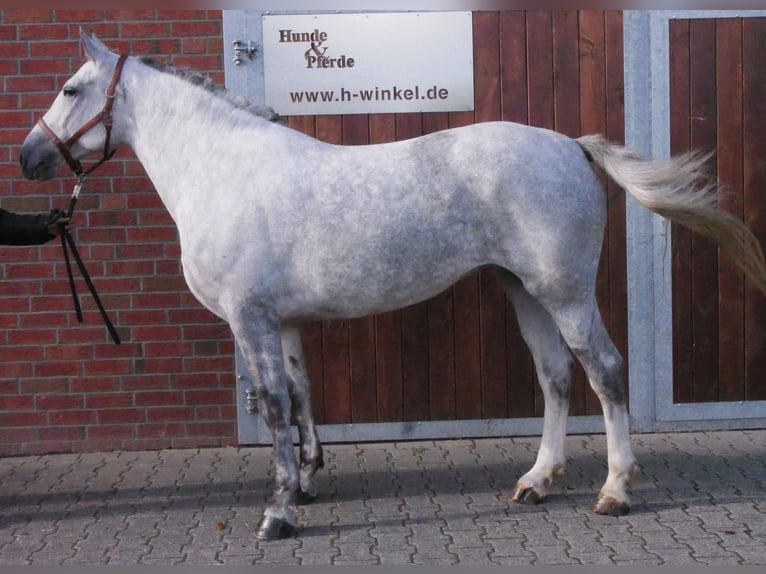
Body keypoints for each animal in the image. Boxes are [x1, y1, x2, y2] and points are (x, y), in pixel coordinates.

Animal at [19, 31, 766, 540]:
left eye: (70, 90)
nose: (27, 157)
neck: (224, 168)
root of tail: (571, 146)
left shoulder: (250, 317)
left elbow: (275, 408)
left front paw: (278, 514)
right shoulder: (283, 322)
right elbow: (301, 396)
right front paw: (307, 484)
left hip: (564, 292)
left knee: (604, 372)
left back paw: (614, 491)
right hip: (521, 290)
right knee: (555, 377)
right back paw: (535, 482)